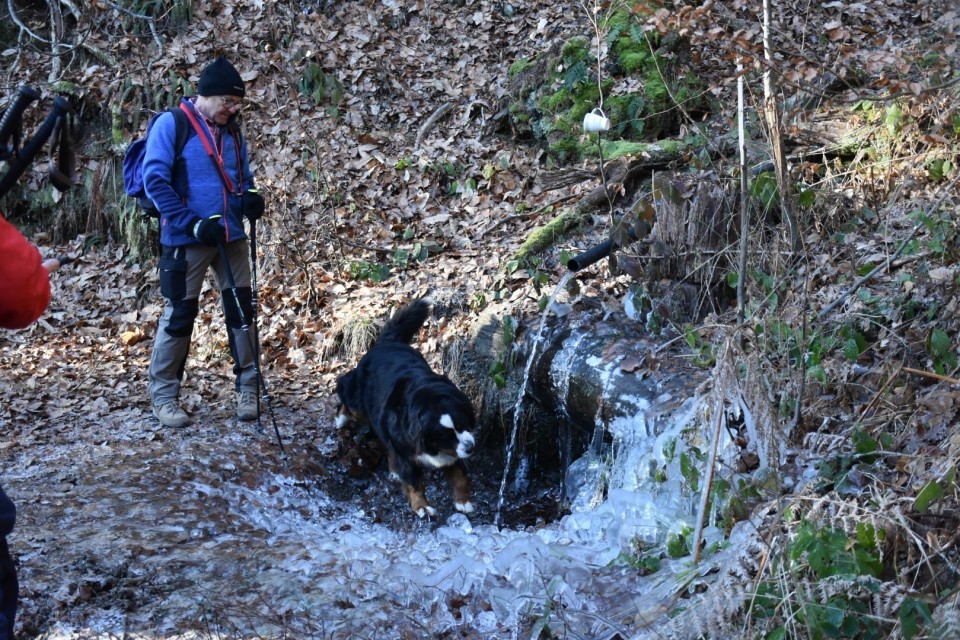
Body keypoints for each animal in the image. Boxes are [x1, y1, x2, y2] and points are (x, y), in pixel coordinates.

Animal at [334, 298, 476, 516]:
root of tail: (387, 343)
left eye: (462, 424)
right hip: (358, 403)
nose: (470, 447)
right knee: (345, 391)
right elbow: (414, 482)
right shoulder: (410, 449)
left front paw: (463, 501)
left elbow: (460, 476)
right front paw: (422, 506)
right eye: (445, 436)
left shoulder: (452, 450)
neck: (429, 400)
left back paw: (393, 470)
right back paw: (341, 419)